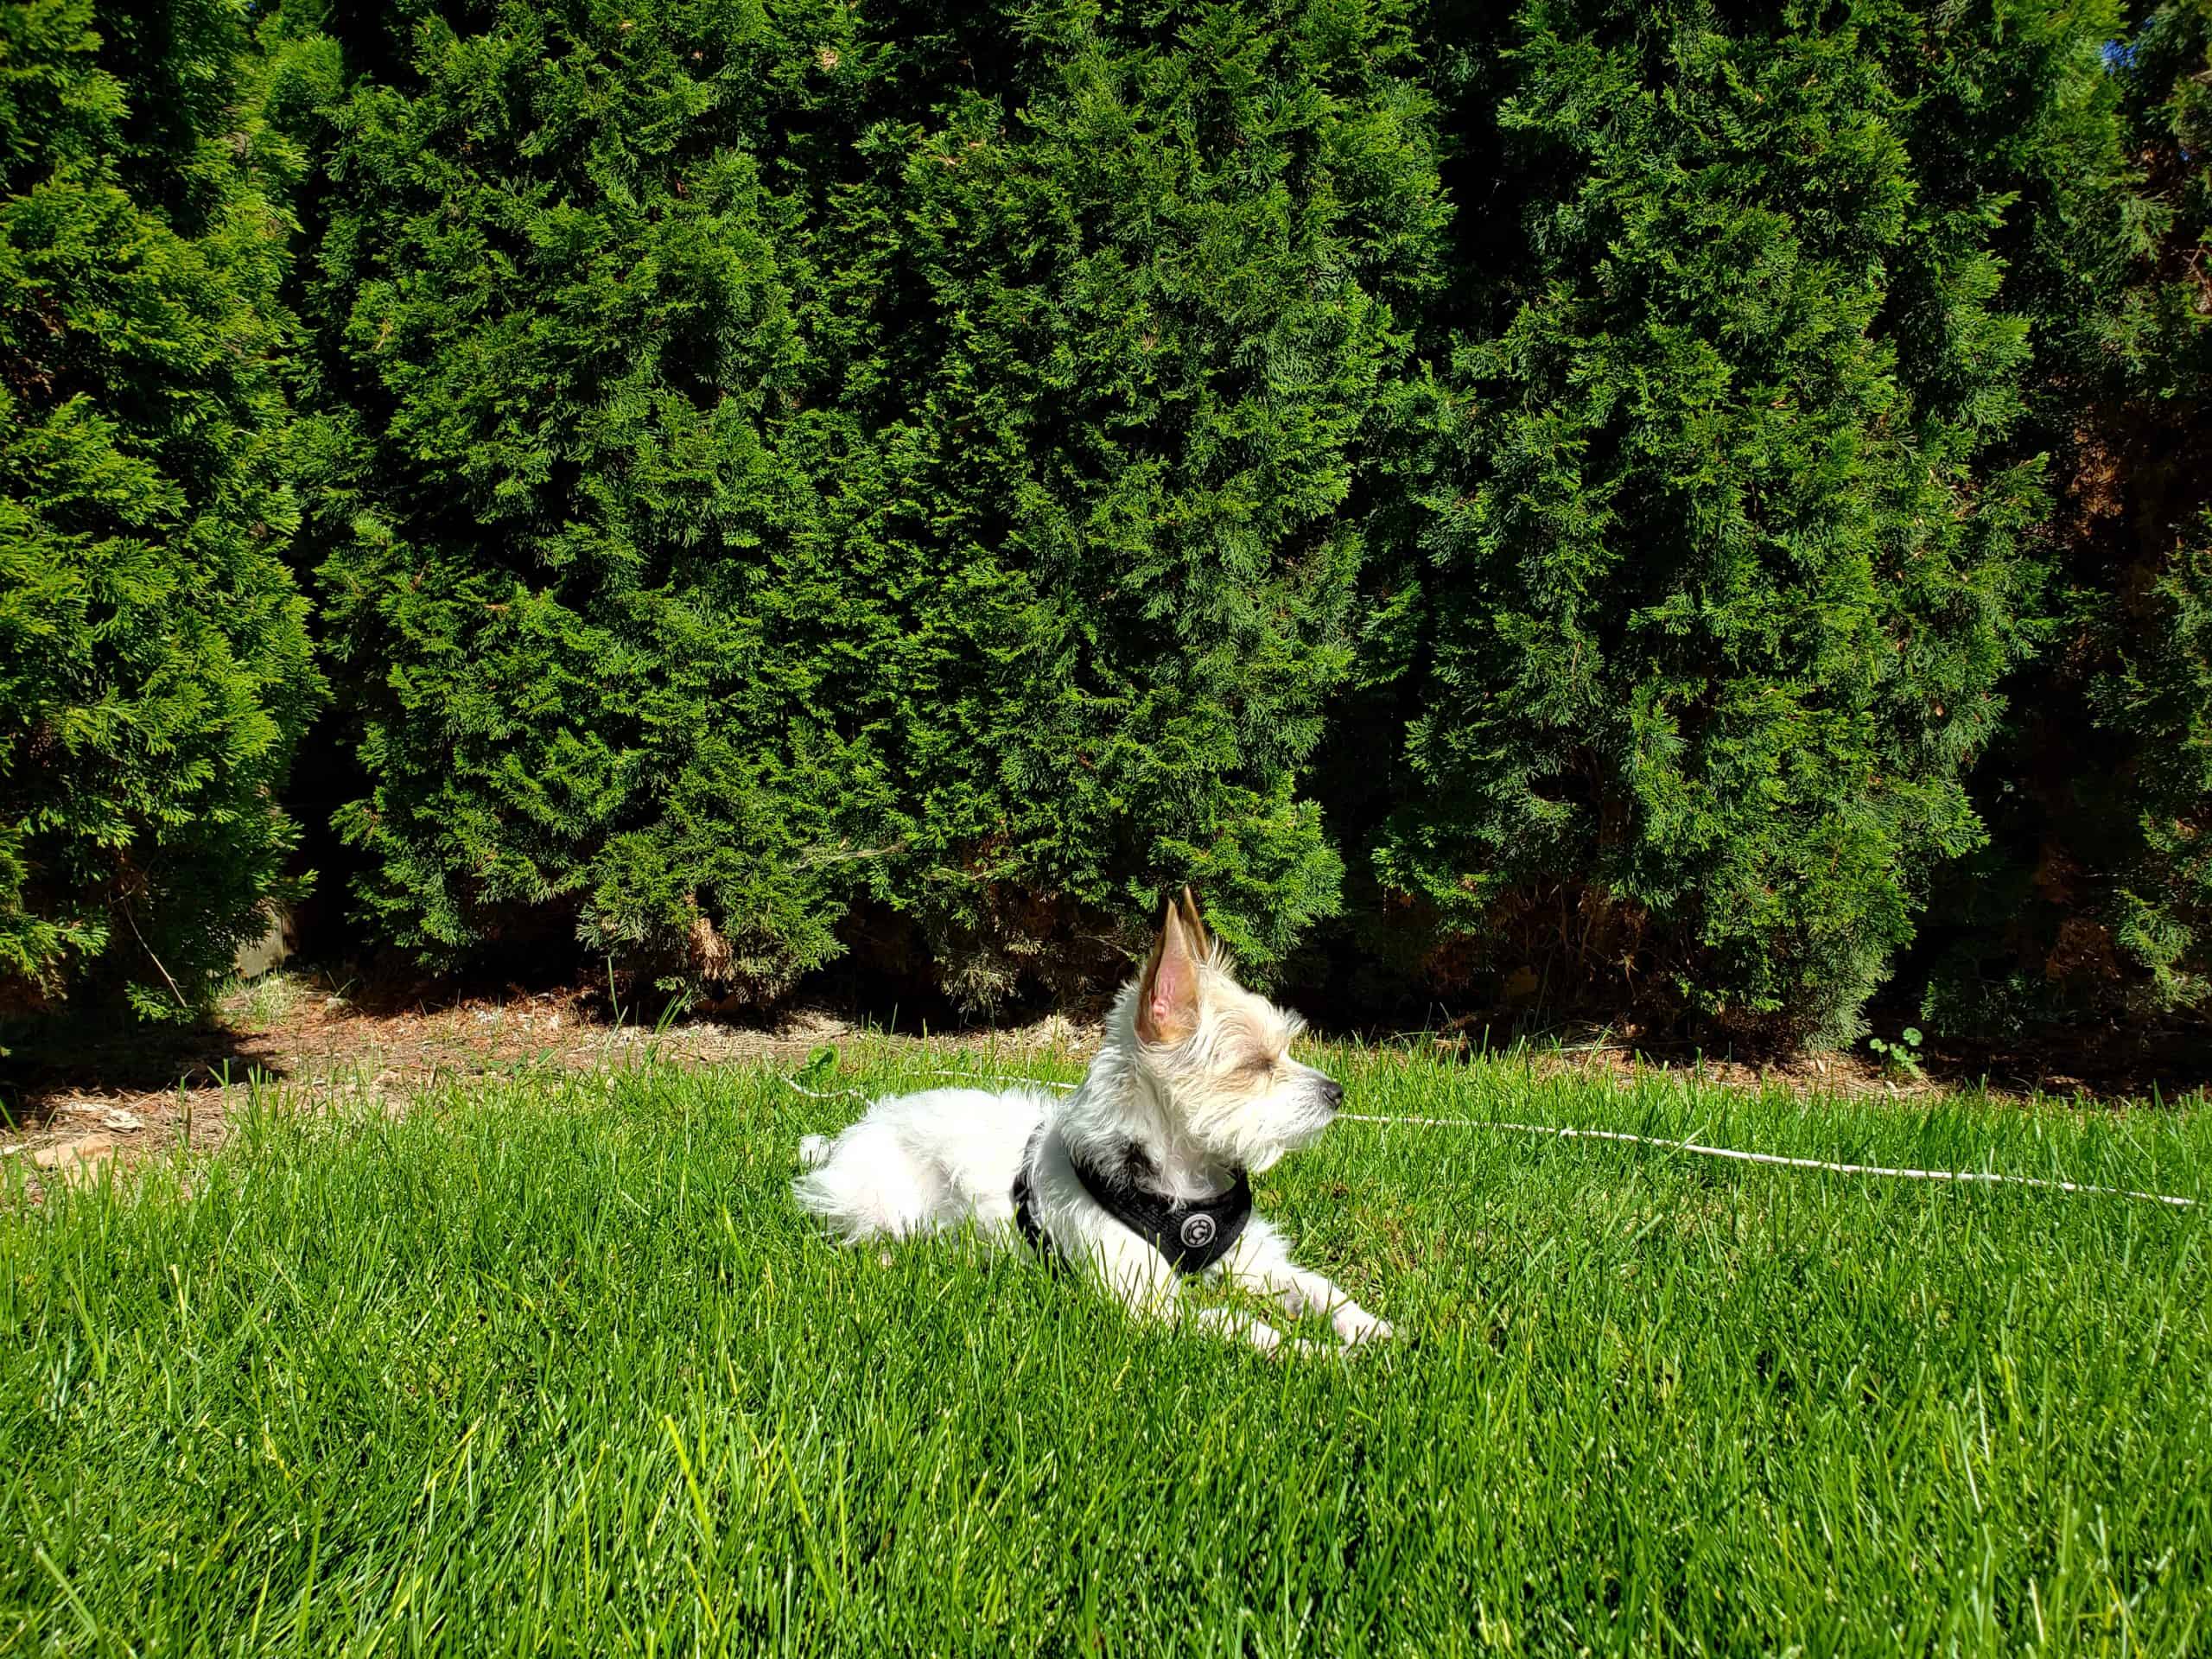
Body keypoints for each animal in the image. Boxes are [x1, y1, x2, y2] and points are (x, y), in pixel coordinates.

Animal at [791, 898, 1380, 1353]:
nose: (1337, 1093)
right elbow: (1246, 1329)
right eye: (1256, 1065)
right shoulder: (1151, 1304)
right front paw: (1320, 1356)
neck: (1179, 1179)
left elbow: (1316, 1289)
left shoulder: (1247, 1257)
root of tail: (854, 1131)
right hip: (884, 1203)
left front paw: (1368, 1329)